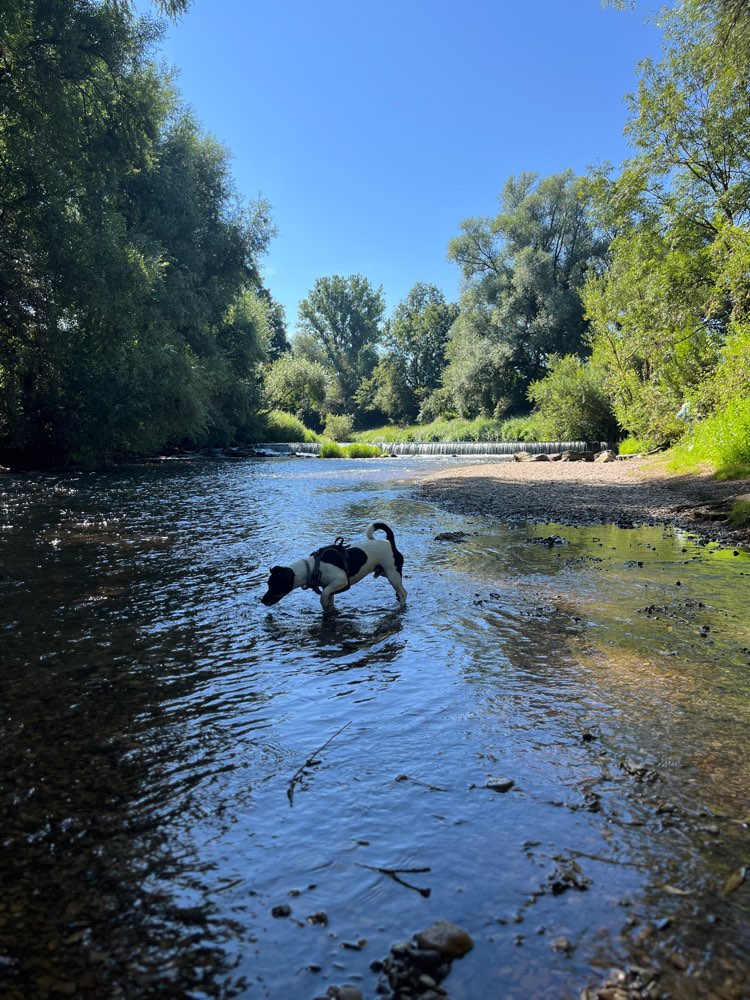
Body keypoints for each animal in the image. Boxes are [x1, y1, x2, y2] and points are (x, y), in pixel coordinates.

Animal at [262, 524, 408, 608]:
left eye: (275, 585)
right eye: (268, 585)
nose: (262, 601)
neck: (314, 567)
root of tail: (389, 542)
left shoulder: (341, 581)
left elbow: (323, 595)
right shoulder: (330, 587)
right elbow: (329, 598)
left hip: (393, 575)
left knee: (403, 593)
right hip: (386, 573)